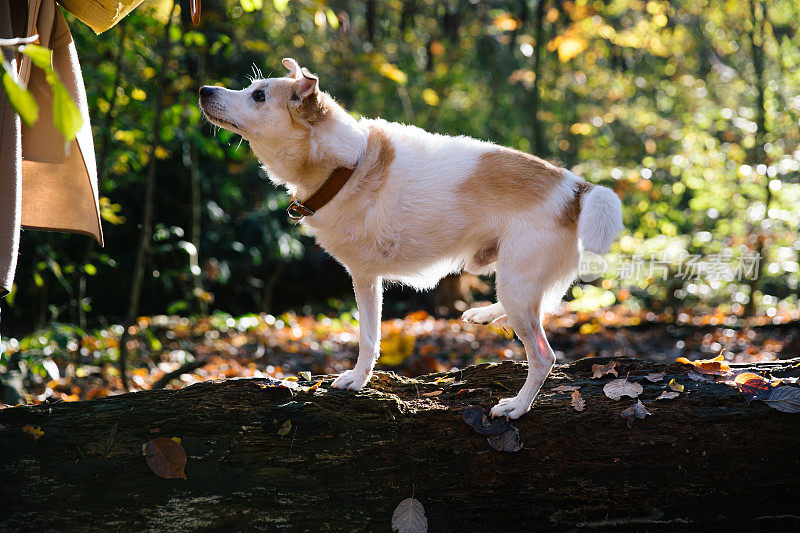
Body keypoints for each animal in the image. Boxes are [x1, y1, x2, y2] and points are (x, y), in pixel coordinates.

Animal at [200, 57, 624, 416]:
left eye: (258, 95)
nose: (204, 89)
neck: (346, 166)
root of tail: (577, 188)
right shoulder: (367, 278)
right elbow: (371, 336)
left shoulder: (364, 278)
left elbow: (368, 338)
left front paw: (357, 379)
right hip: (519, 284)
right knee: (542, 306)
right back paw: (486, 314)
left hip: (517, 285)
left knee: (543, 356)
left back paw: (518, 406)